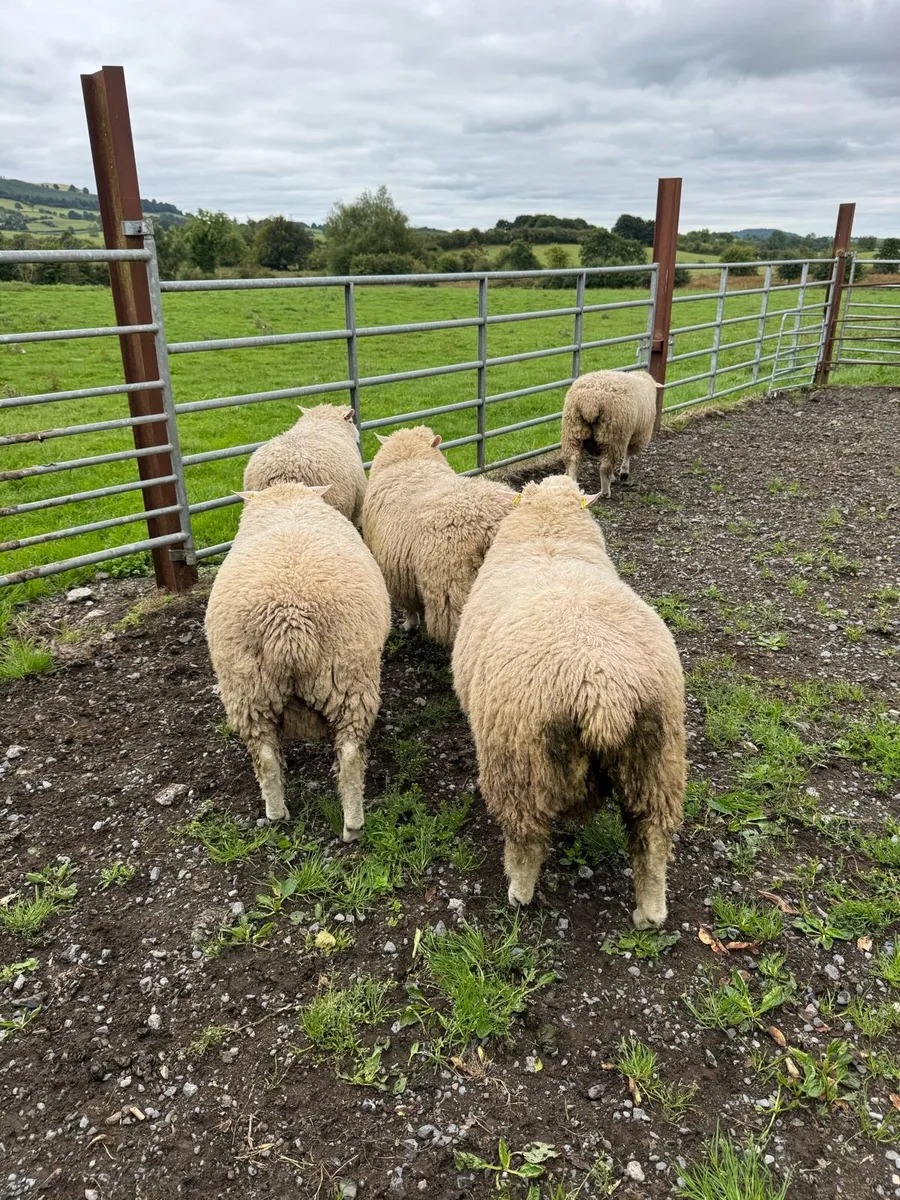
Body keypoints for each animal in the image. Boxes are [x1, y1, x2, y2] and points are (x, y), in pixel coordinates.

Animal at [205, 482, 391, 840]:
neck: (286, 500)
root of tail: (289, 622)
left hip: (252, 686)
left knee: (269, 756)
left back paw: (286, 815)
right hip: (339, 679)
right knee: (344, 755)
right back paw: (346, 825)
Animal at [361, 425, 517, 647]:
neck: (409, 460)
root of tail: (492, 523)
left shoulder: (397, 573)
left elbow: (409, 605)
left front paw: (410, 623)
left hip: (452, 592)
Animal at [452, 474, 686, 928]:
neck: (550, 536)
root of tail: (602, 691)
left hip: (519, 766)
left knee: (526, 838)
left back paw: (518, 893)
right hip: (657, 762)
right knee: (652, 841)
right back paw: (649, 914)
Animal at [560, 369, 660, 497]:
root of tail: (590, 402)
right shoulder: (639, 435)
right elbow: (628, 453)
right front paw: (623, 472)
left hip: (573, 429)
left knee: (573, 459)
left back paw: (573, 484)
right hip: (613, 436)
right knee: (605, 466)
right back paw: (605, 491)